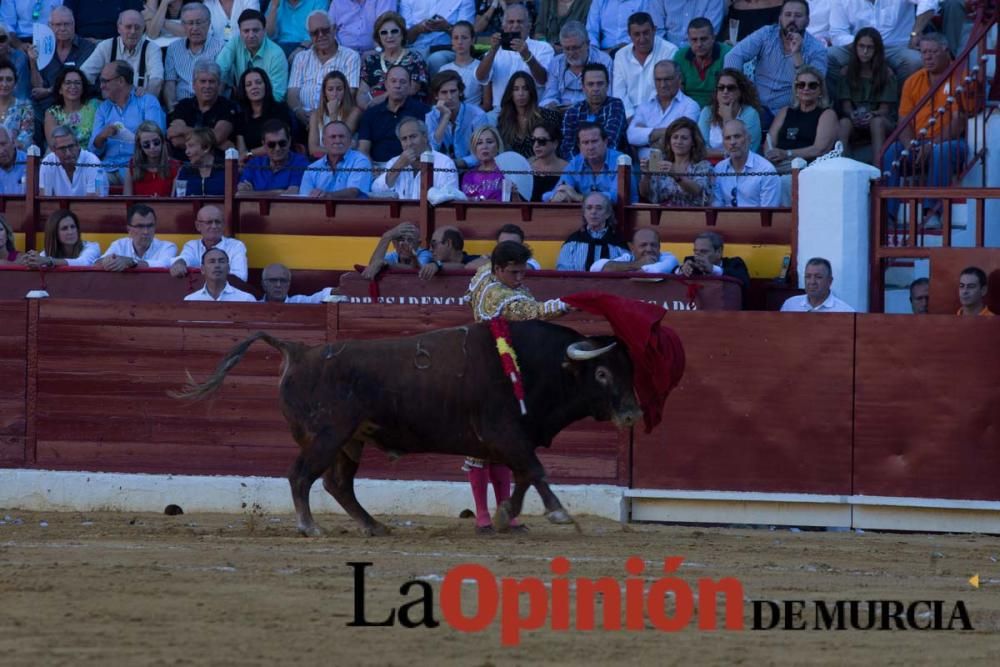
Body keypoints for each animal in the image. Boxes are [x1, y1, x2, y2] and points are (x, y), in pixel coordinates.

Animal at [172, 320, 640, 536]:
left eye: (628, 369)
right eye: (602, 374)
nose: (634, 414)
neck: (531, 364)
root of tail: (299, 350)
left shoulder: (511, 440)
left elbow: (525, 475)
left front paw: (508, 514)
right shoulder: (506, 434)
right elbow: (537, 470)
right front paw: (558, 512)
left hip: (350, 441)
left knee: (338, 484)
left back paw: (374, 525)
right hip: (328, 436)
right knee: (301, 476)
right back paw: (310, 526)